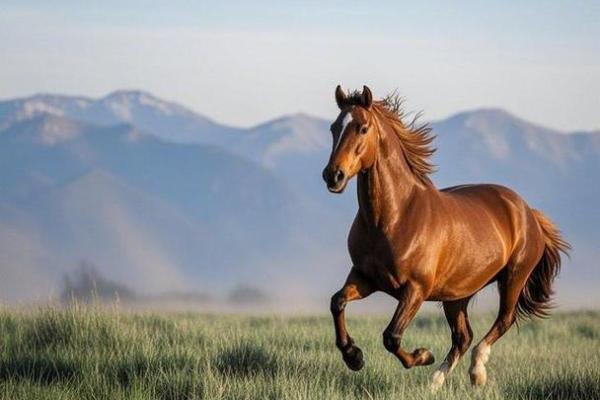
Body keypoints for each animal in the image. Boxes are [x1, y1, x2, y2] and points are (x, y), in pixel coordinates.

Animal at [322, 86, 568, 390]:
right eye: (334, 128)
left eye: (363, 128)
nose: (333, 176)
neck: (394, 217)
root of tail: (528, 212)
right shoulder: (365, 278)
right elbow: (337, 302)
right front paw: (353, 356)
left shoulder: (415, 289)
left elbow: (391, 336)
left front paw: (422, 355)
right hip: (457, 295)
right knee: (463, 337)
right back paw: (434, 383)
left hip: (513, 278)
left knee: (502, 321)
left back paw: (476, 372)